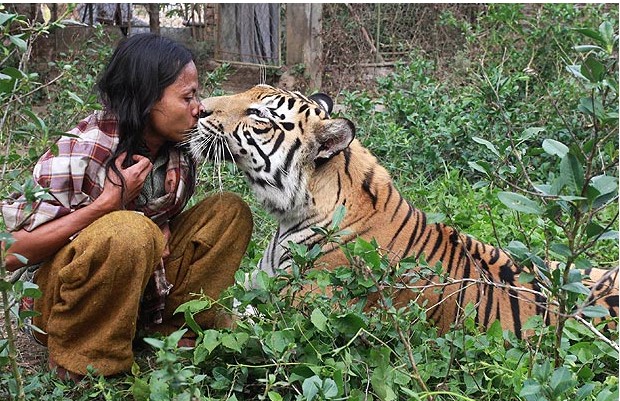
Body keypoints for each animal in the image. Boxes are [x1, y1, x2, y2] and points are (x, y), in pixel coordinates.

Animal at [186, 84, 616, 338]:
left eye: (259, 114)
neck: (291, 212)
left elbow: (219, 314)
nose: (200, 108)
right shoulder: (253, 283)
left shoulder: (301, 313)